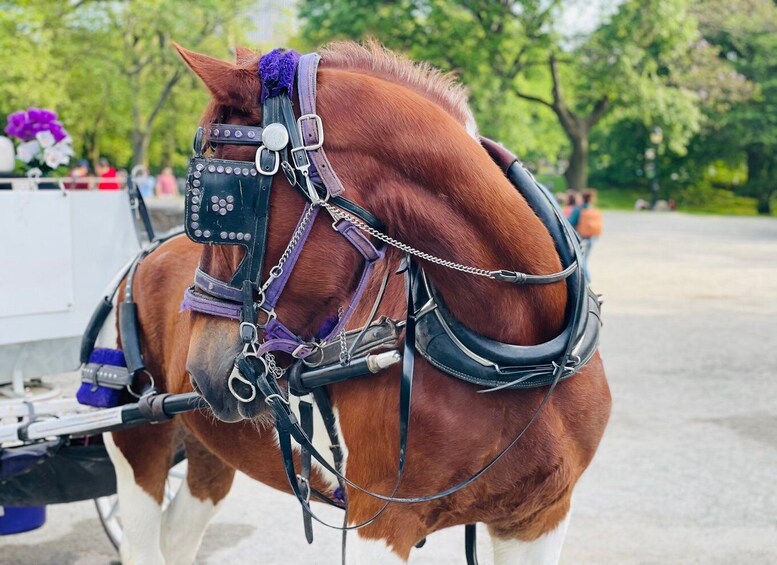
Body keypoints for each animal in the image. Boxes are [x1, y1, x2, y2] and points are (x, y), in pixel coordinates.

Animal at [104, 41, 612, 560]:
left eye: (224, 204)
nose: (203, 369)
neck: (515, 357)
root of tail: (147, 251)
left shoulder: (538, 518)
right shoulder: (383, 523)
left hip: (209, 453)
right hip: (139, 446)